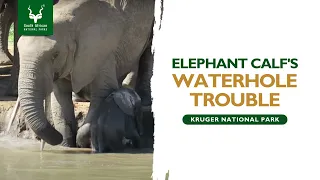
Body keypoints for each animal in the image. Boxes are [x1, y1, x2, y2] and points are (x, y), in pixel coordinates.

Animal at [17, 0, 155, 150]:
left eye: (55, 54)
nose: (41, 143)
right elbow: (60, 97)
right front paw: (66, 145)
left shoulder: (101, 50)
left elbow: (101, 92)